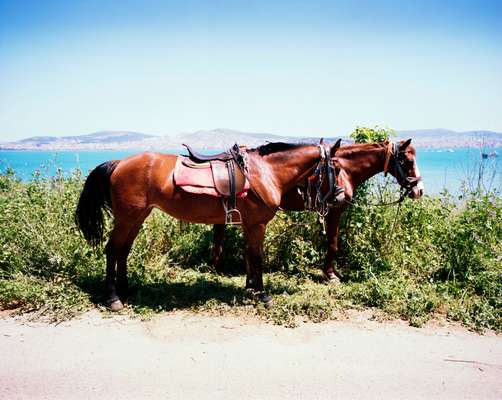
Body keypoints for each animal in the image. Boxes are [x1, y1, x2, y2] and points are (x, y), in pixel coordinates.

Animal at [74, 139, 342, 310]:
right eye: (337, 169)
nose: (340, 197)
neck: (265, 172)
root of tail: (119, 163)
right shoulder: (257, 225)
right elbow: (257, 258)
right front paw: (263, 295)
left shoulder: (249, 226)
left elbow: (250, 256)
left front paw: (251, 289)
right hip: (126, 218)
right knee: (112, 249)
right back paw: (113, 297)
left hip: (138, 216)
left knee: (124, 250)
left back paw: (126, 288)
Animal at [212, 139, 424, 282]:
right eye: (407, 161)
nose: (419, 190)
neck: (345, 170)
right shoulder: (335, 211)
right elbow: (333, 243)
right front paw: (330, 274)